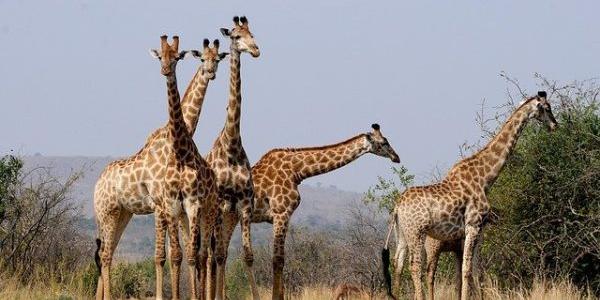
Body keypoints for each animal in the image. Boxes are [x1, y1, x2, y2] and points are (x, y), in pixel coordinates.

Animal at [92, 35, 224, 300]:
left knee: (106, 252)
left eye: (177, 58)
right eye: (202, 59)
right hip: (106, 212)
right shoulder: (161, 205)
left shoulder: (172, 206)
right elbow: (162, 255)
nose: (210, 72)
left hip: (122, 213)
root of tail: (97, 184)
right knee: (105, 254)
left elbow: (175, 253)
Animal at [251, 123, 400, 298]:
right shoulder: (281, 213)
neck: (297, 171)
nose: (396, 157)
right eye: (384, 142)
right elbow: (278, 260)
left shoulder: (279, 216)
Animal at [384, 91, 556, 300]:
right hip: (417, 232)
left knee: (398, 264)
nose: (555, 125)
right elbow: (466, 270)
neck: (485, 178)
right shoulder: (473, 225)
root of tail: (397, 206)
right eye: (547, 108)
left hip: (402, 233)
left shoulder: (474, 231)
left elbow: (472, 271)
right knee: (415, 267)